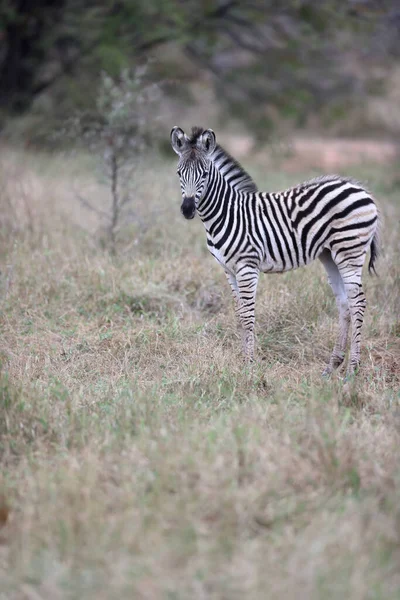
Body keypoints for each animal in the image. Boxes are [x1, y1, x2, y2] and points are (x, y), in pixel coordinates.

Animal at [170, 125, 380, 376]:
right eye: (179, 173)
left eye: (204, 174)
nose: (187, 210)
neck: (225, 213)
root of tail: (361, 189)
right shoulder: (228, 269)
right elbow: (239, 313)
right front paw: (243, 360)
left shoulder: (247, 266)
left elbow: (248, 315)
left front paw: (249, 365)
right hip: (330, 255)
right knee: (345, 303)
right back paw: (332, 366)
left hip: (350, 251)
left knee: (358, 303)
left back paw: (352, 370)